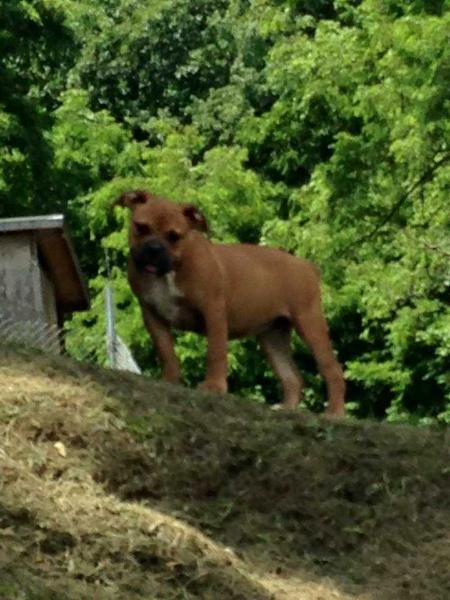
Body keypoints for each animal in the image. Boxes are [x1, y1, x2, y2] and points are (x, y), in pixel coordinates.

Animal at [116, 190, 344, 414]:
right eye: (141, 227)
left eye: (174, 237)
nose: (154, 248)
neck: (170, 271)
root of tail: (307, 266)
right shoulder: (152, 315)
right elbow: (166, 352)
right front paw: (169, 380)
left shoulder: (213, 311)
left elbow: (215, 353)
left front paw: (213, 386)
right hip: (273, 337)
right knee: (292, 376)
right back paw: (285, 408)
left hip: (309, 323)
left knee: (332, 369)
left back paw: (334, 413)